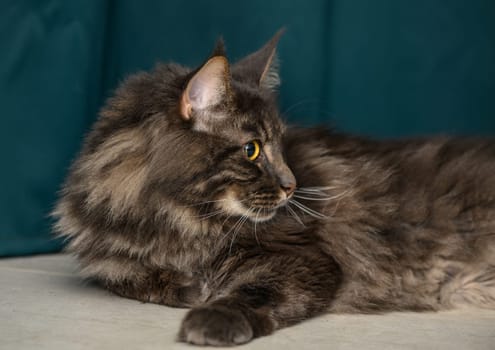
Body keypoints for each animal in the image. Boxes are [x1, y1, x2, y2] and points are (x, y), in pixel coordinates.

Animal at [53, 30, 495, 348]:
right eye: (251, 150)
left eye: (282, 147)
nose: (291, 185)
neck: (176, 220)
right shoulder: (108, 260)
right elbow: (126, 278)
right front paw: (186, 287)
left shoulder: (303, 258)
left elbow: (253, 292)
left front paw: (211, 316)